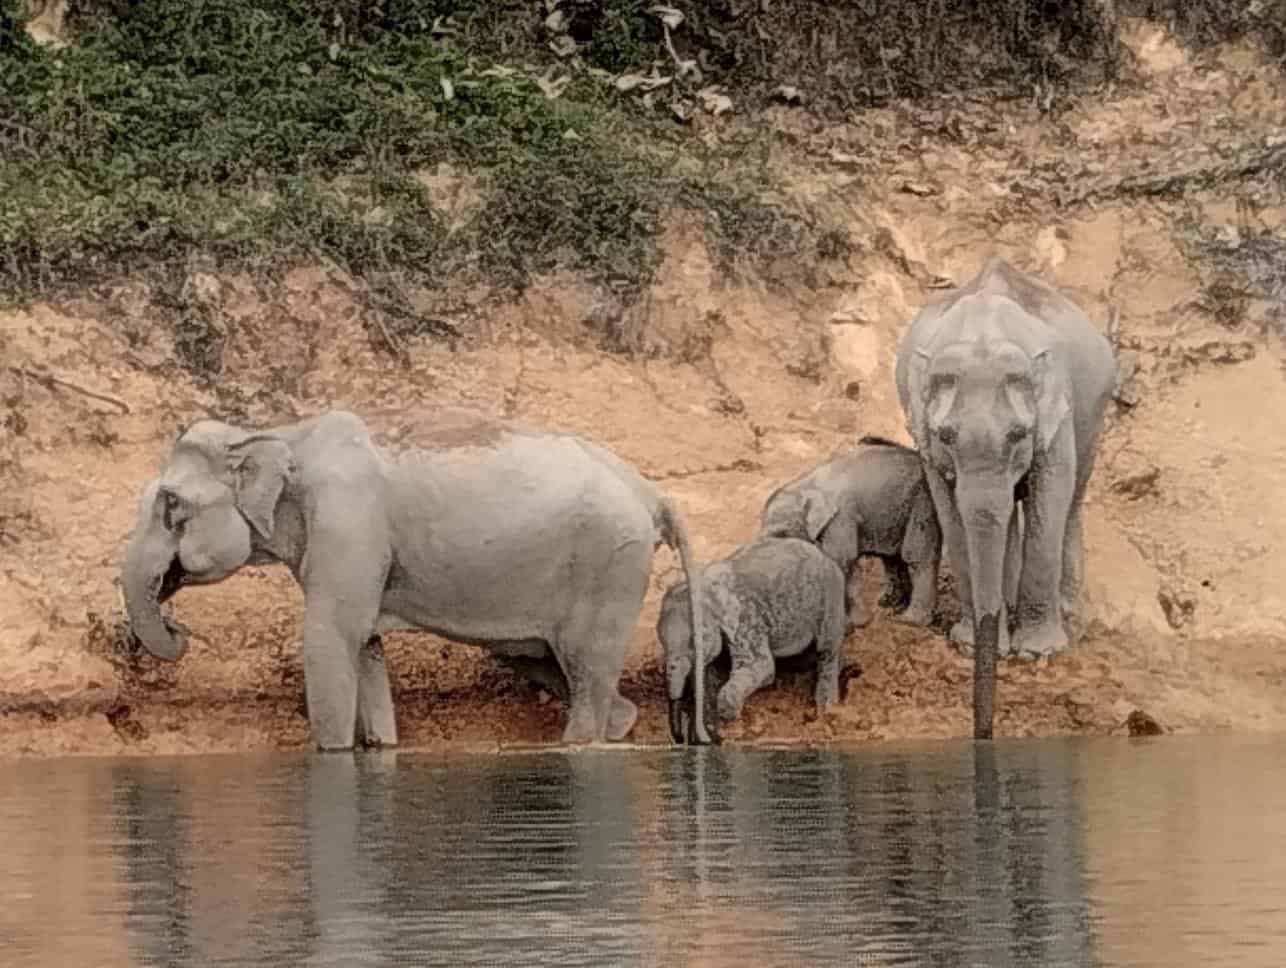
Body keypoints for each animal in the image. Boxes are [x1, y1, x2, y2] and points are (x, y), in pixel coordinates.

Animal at [119, 409, 713, 750]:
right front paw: (381, 747)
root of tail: (651, 492)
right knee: (547, 659)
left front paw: (334, 754)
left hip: (610, 564)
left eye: (171, 504)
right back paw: (623, 725)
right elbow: (365, 646)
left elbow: (329, 641)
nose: (178, 629)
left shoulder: (349, 524)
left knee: (586, 668)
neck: (277, 432)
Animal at [658, 535, 847, 744]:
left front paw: (731, 727)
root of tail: (823, 554)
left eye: (693, 643)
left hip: (830, 597)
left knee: (826, 649)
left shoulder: (745, 618)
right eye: (661, 642)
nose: (680, 738)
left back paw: (826, 709)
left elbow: (761, 666)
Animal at [758, 435, 942, 632]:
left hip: (923, 501)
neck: (805, 485)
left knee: (916, 557)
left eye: (784, 533)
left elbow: (842, 561)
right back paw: (888, 604)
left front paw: (853, 626)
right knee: (891, 558)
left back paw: (909, 621)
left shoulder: (841, 519)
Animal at [894, 256, 1116, 739]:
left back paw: (1069, 614)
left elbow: (1051, 495)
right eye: (946, 435)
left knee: (1072, 501)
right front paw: (971, 643)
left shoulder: (1058, 415)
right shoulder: (926, 441)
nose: (984, 733)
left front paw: (1037, 652)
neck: (984, 333)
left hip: (1094, 413)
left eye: (1018, 434)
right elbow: (953, 511)